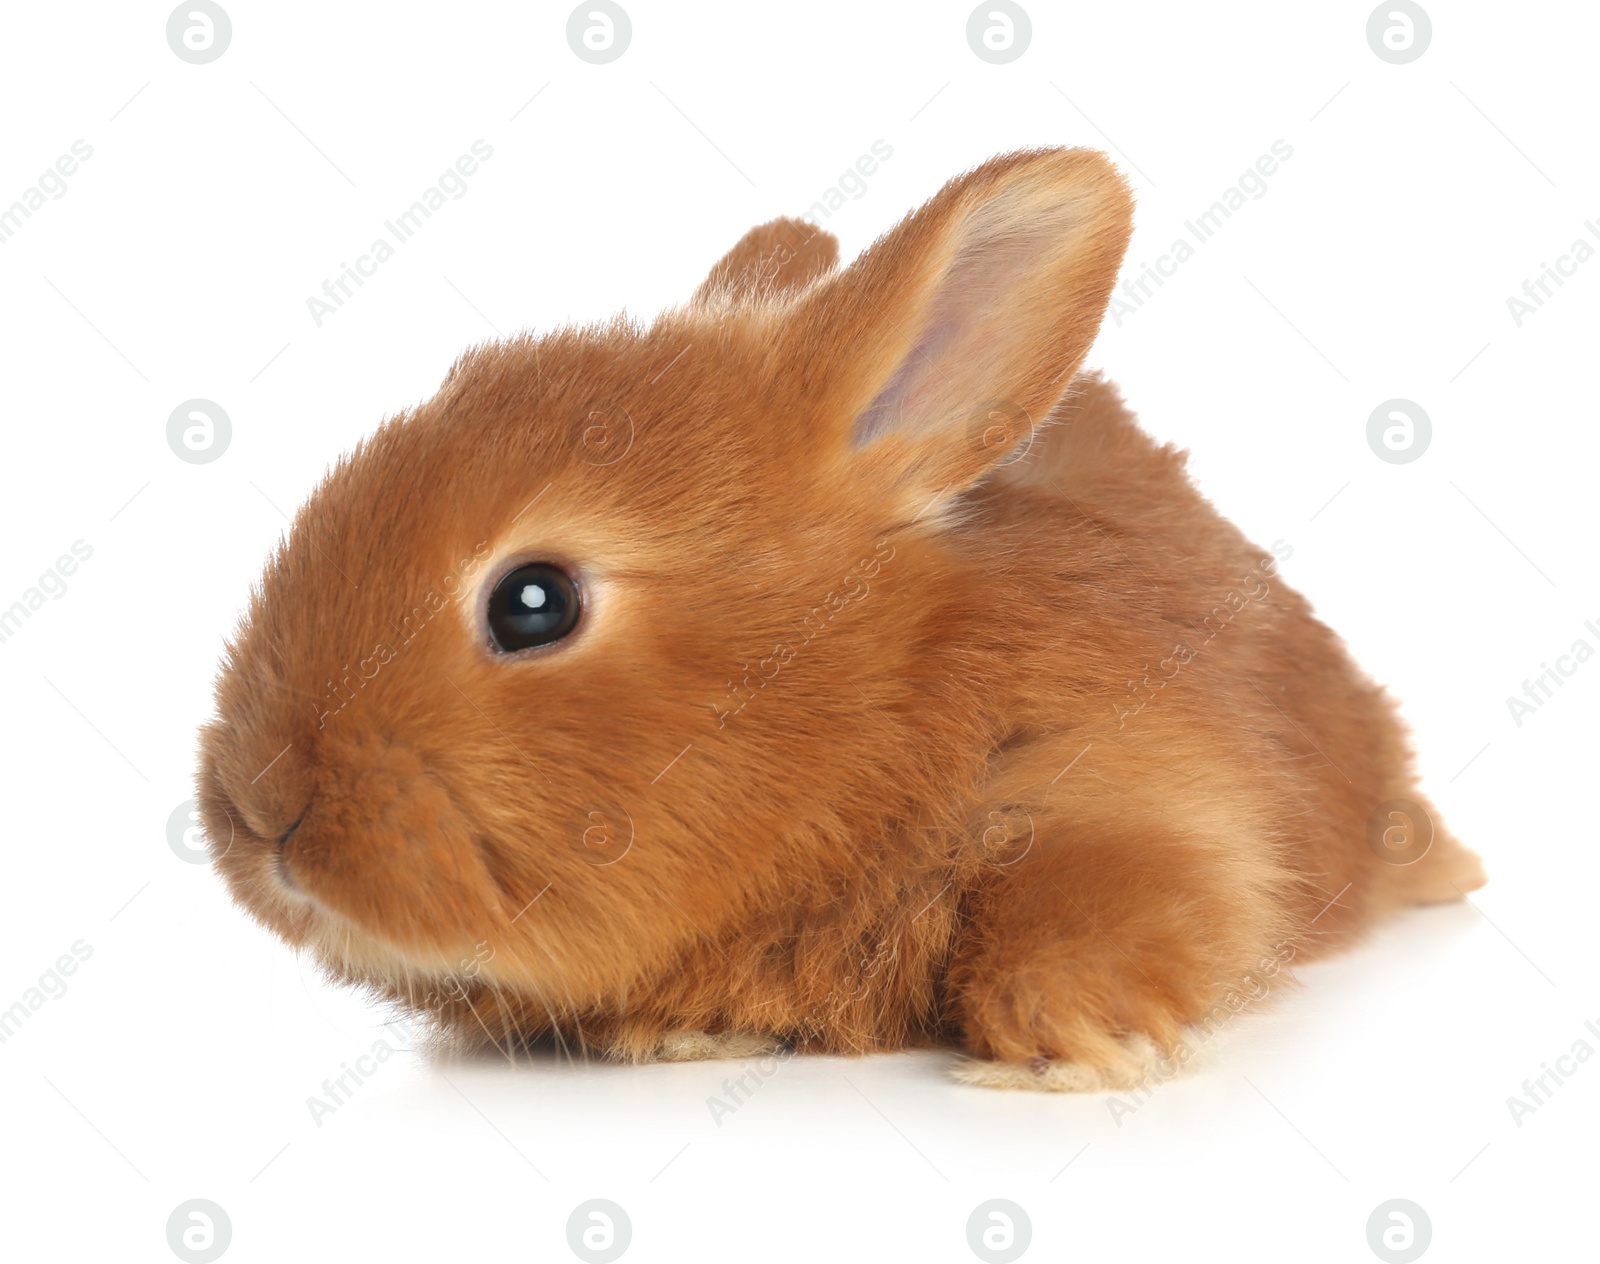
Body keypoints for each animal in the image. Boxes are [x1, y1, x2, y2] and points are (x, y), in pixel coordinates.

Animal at [196, 148, 1484, 1094]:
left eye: (534, 602)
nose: (262, 804)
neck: (881, 705)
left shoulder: (1130, 779)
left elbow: (1100, 906)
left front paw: (1075, 1048)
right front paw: (677, 1036)